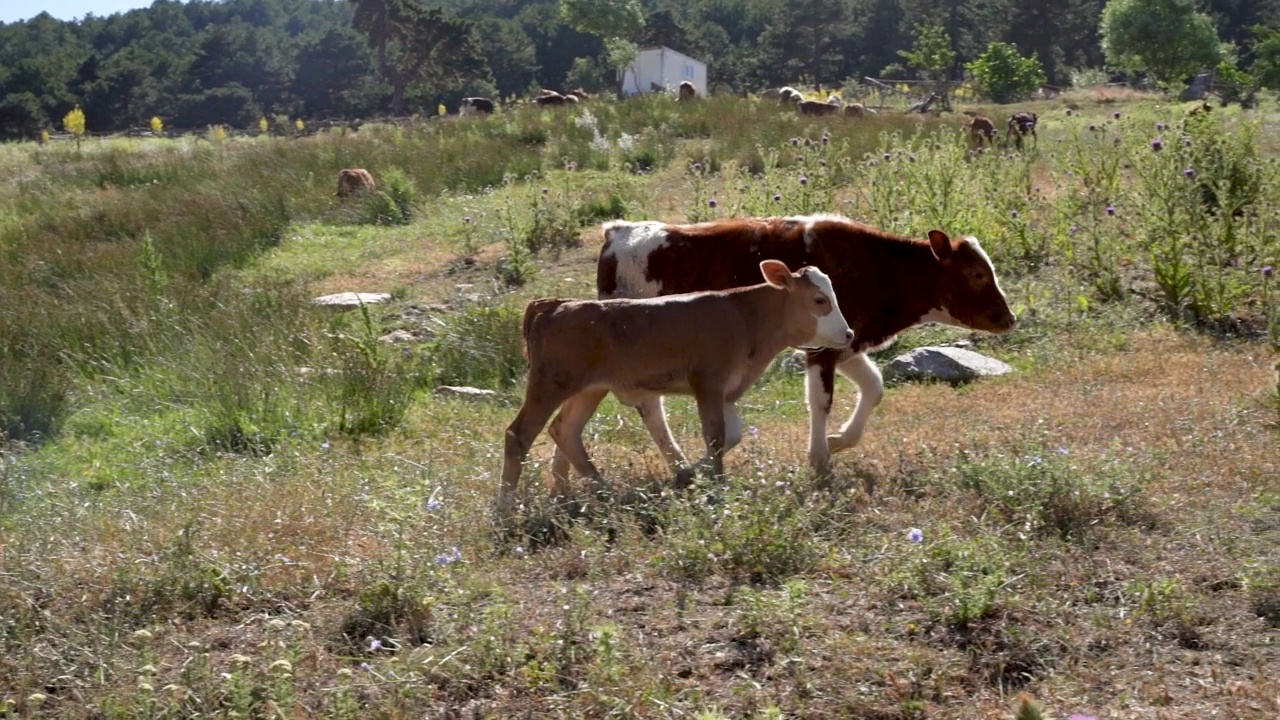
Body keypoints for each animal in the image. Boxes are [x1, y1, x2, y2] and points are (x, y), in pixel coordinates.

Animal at [496, 257, 849, 515]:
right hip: (550, 384)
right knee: (519, 434)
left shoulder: (726, 393)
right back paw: (504, 509)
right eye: (820, 300)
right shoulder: (708, 384)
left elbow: (731, 435)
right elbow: (715, 437)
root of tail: (554, 305)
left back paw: (594, 493)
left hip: (589, 389)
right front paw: (716, 486)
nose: (848, 334)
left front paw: (689, 475)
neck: (743, 317)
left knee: (565, 431)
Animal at [591, 215, 1018, 479]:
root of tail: (618, 233)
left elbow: (874, 386)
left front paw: (839, 440)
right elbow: (821, 401)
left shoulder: (846, 339)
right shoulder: (822, 349)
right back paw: (683, 465)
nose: (1009, 318)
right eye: (978, 273)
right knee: (650, 407)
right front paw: (821, 459)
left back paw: (681, 465)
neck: (877, 266)